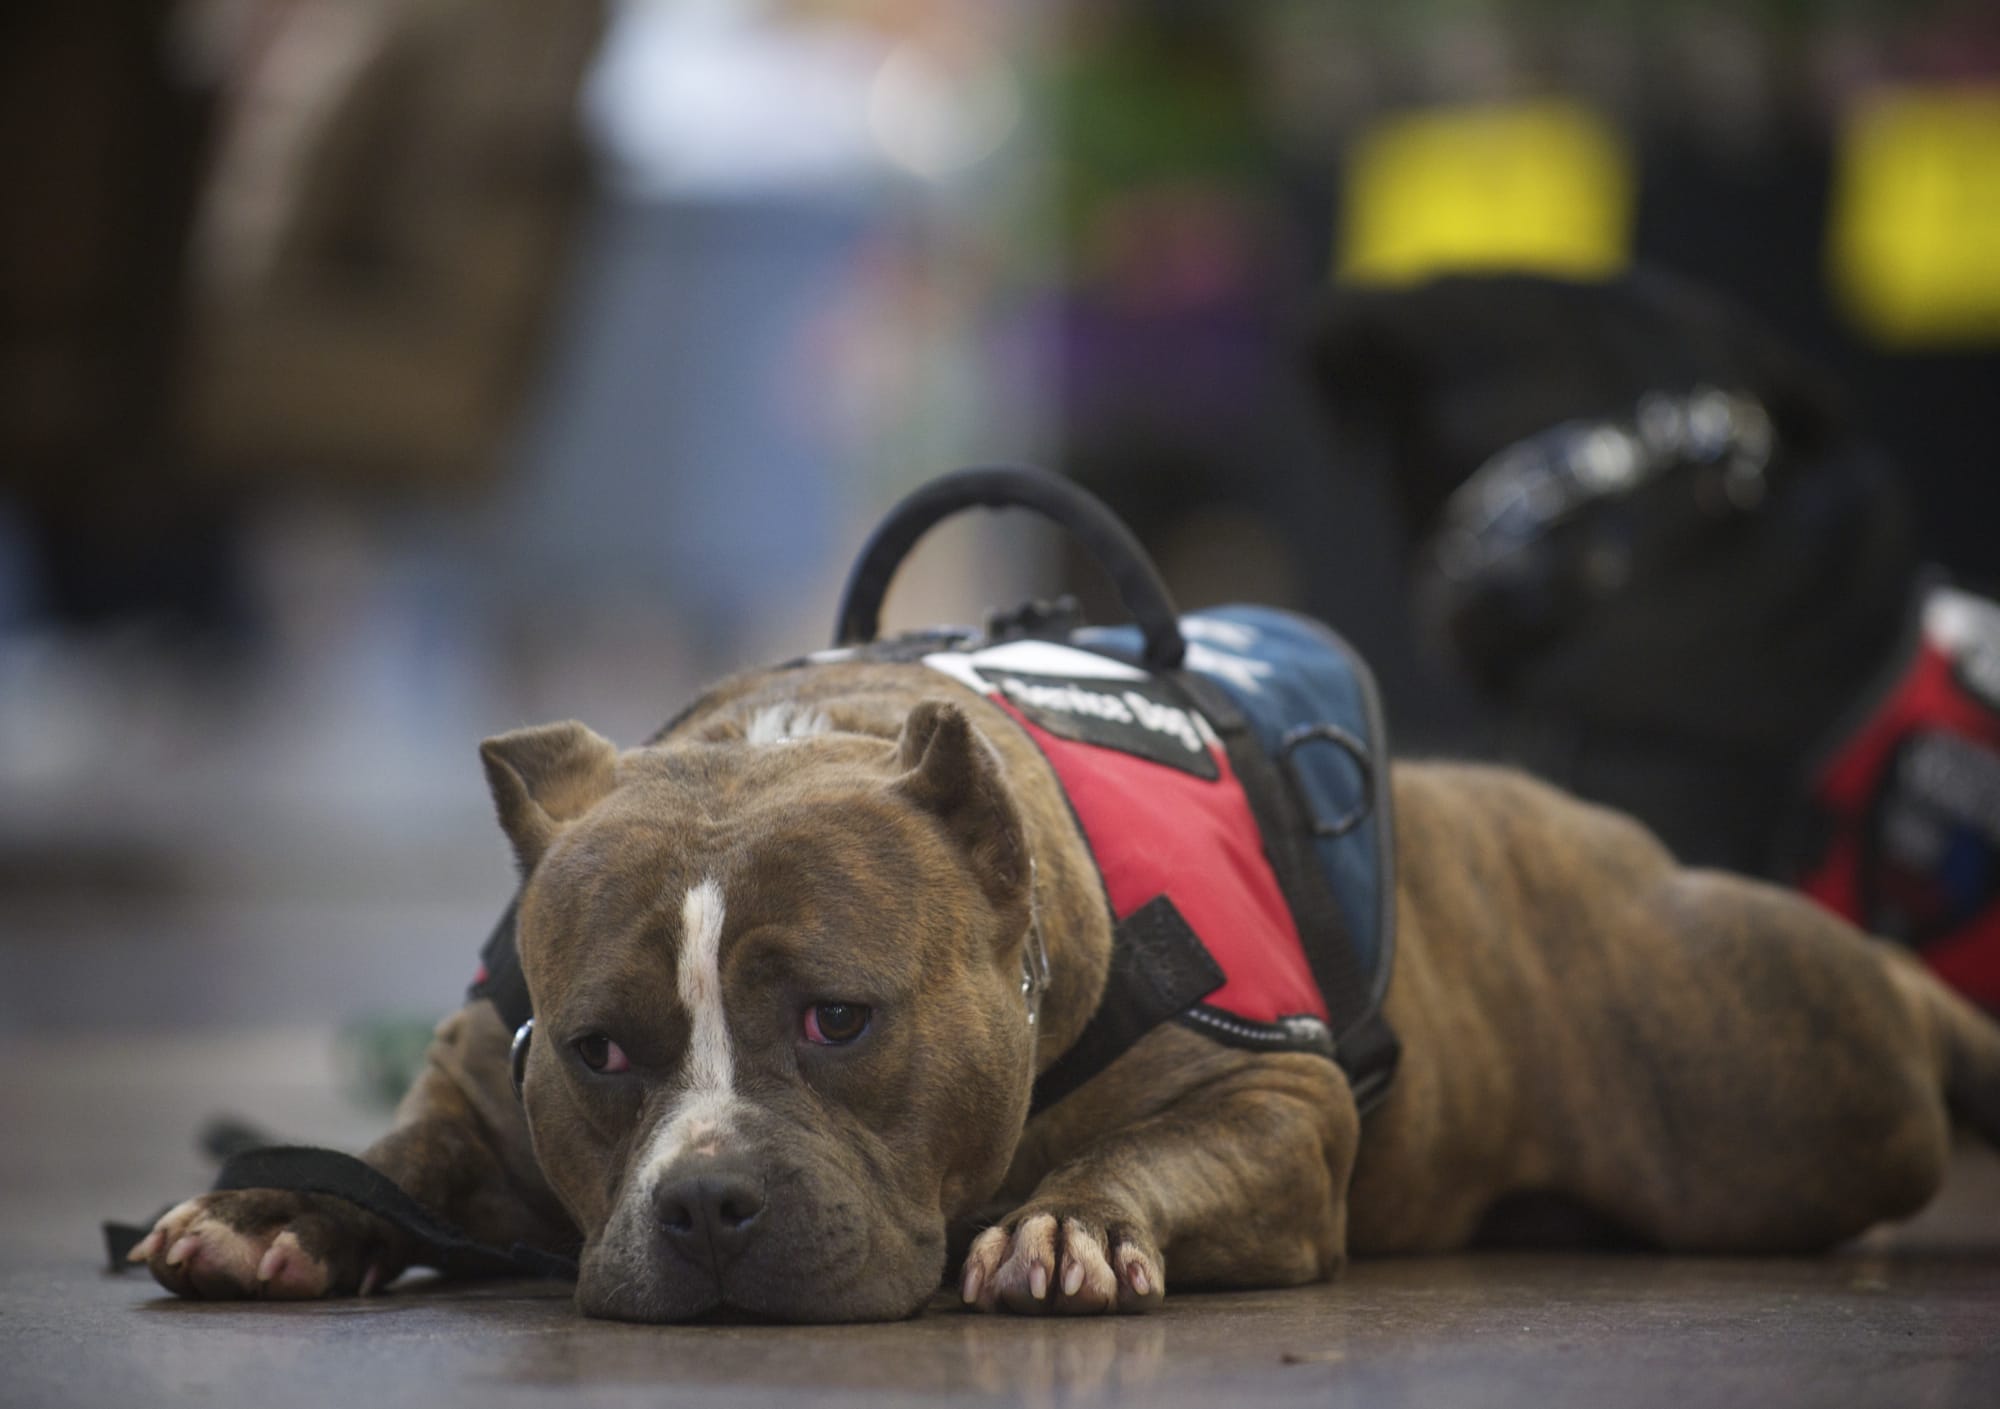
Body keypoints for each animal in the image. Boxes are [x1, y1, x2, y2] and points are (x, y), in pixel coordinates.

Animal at [129, 660, 2000, 1320]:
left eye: (839, 1019)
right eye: (599, 1051)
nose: (710, 1205)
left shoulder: (1277, 1103)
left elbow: (1150, 1149)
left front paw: (1069, 1227)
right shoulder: (476, 1074)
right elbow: (403, 1153)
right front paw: (273, 1210)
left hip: (1783, 1084)